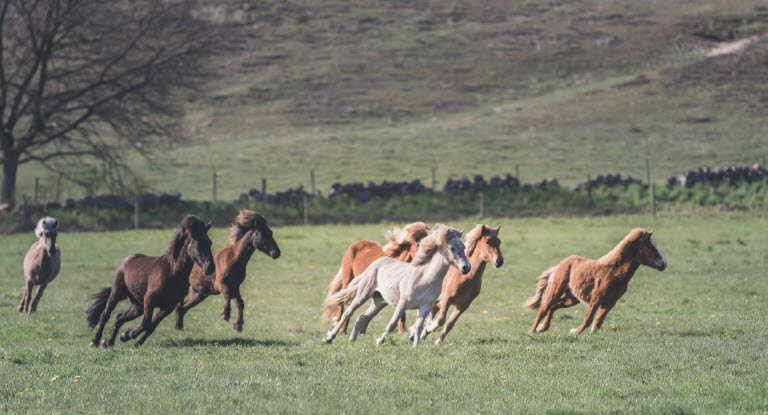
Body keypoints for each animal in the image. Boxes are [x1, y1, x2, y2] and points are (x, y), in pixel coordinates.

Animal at [87, 216, 216, 350]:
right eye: (198, 244)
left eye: (210, 243)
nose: (210, 267)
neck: (173, 272)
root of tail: (128, 259)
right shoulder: (149, 299)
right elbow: (146, 323)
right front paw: (128, 335)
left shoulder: (168, 307)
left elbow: (151, 327)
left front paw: (131, 341)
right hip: (116, 294)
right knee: (105, 315)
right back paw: (95, 341)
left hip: (137, 306)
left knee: (119, 318)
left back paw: (108, 342)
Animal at [320, 224, 472, 348]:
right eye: (452, 248)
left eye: (464, 247)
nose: (466, 268)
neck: (424, 278)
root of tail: (375, 263)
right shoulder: (402, 304)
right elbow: (392, 324)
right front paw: (379, 341)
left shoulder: (425, 307)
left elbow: (419, 327)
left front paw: (416, 346)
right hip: (363, 295)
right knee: (347, 313)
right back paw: (328, 338)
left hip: (379, 301)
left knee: (362, 317)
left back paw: (352, 340)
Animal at [520, 229, 664, 336]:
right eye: (650, 247)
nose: (664, 264)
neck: (615, 272)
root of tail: (561, 264)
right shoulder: (596, 299)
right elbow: (589, 319)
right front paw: (574, 332)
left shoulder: (610, 302)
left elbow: (598, 322)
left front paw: (588, 333)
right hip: (556, 291)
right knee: (543, 309)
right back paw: (532, 331)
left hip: (572, 298)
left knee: (553, 307)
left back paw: (542, 328)